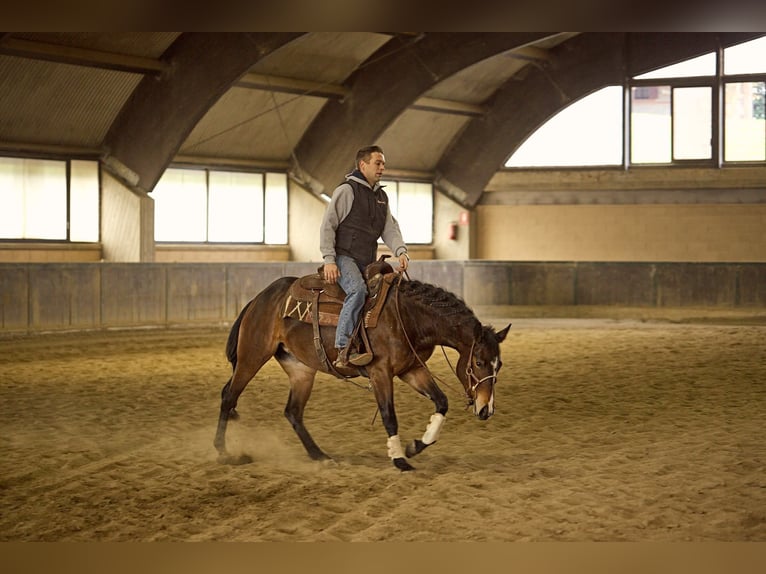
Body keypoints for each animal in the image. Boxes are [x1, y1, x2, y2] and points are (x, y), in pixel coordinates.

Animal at [214, 266, 511, 471]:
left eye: (499, 365)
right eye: (479, 362)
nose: (486, 410)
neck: (407, 317)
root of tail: (260, 298)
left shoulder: (412, 369)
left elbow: (441, 402)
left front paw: (415, 446)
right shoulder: (381, 373)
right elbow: (389, 416)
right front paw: (400, 459)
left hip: (300, 370)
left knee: (293, 412)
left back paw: (320, 456)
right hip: (252, 356)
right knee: (229, 396)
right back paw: (224, 452)